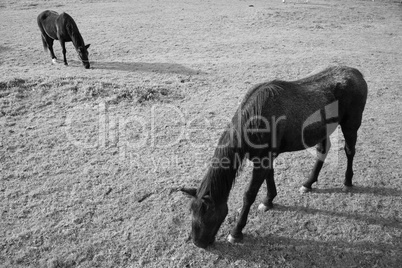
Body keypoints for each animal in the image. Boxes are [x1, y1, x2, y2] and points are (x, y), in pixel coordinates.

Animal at [181, 65, 368, 249]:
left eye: (207, 216)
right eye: (191, 212)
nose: (198, 243)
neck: (255, 121)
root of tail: (356, 73)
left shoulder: (263, 160)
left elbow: (249, 194)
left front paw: (236, 231)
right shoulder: (264, 158)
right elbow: (269, 178)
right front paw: (269, 200)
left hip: (351, 124)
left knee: (349, 150)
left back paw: (347, 182)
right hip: (323, 129)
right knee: (323, 150)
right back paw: (308, 183)